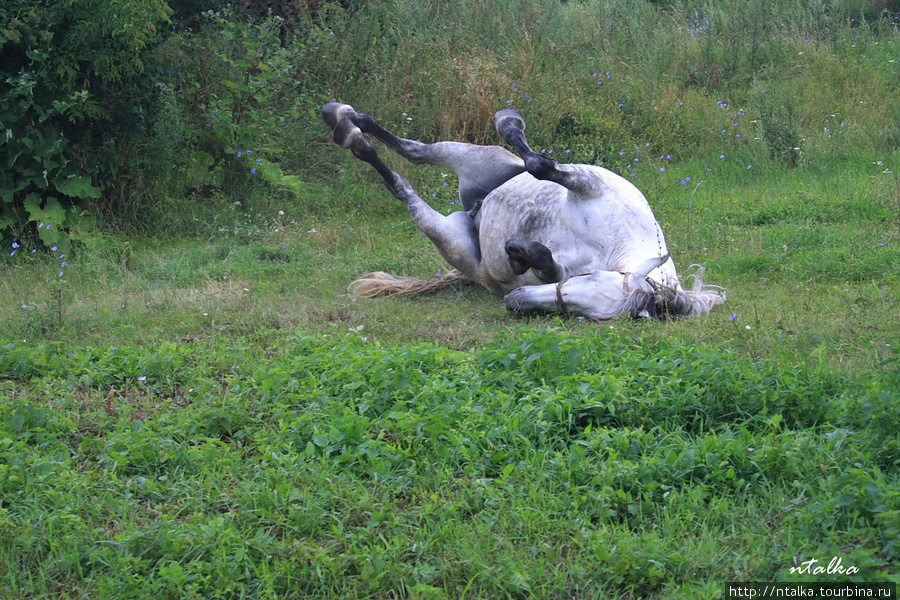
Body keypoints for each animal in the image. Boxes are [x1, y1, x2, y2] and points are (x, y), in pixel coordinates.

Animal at [324, 103, 724, 318]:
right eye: (589, 281)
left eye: (586, 313)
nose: (515, 302)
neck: (616, 238)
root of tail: (473, 205)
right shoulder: (588, 182)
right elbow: (540, 165)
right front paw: (510, 122)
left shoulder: (556, 268)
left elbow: (544, 261)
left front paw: (519, 254)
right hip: (474, 154)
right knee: (415, 152)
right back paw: (346, 120)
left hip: (446, 237)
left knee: (403, 180)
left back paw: (351, 134)